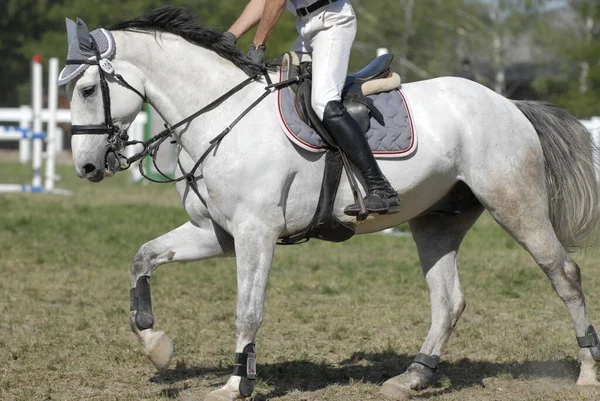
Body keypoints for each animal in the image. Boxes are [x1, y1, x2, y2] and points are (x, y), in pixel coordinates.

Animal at [62, 6, 600, 400]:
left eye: (87, 89)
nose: (86, 166)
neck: (221, 115)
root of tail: (508, 103)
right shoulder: (217, 234)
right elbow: (143, 257)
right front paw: (155, 344)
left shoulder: (256, 233)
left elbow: (247, 310)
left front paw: (237, 384)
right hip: (435, 220)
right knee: (448, 300)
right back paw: (413, 377)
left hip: (517, 205)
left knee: (564, 275)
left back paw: (587, 370)